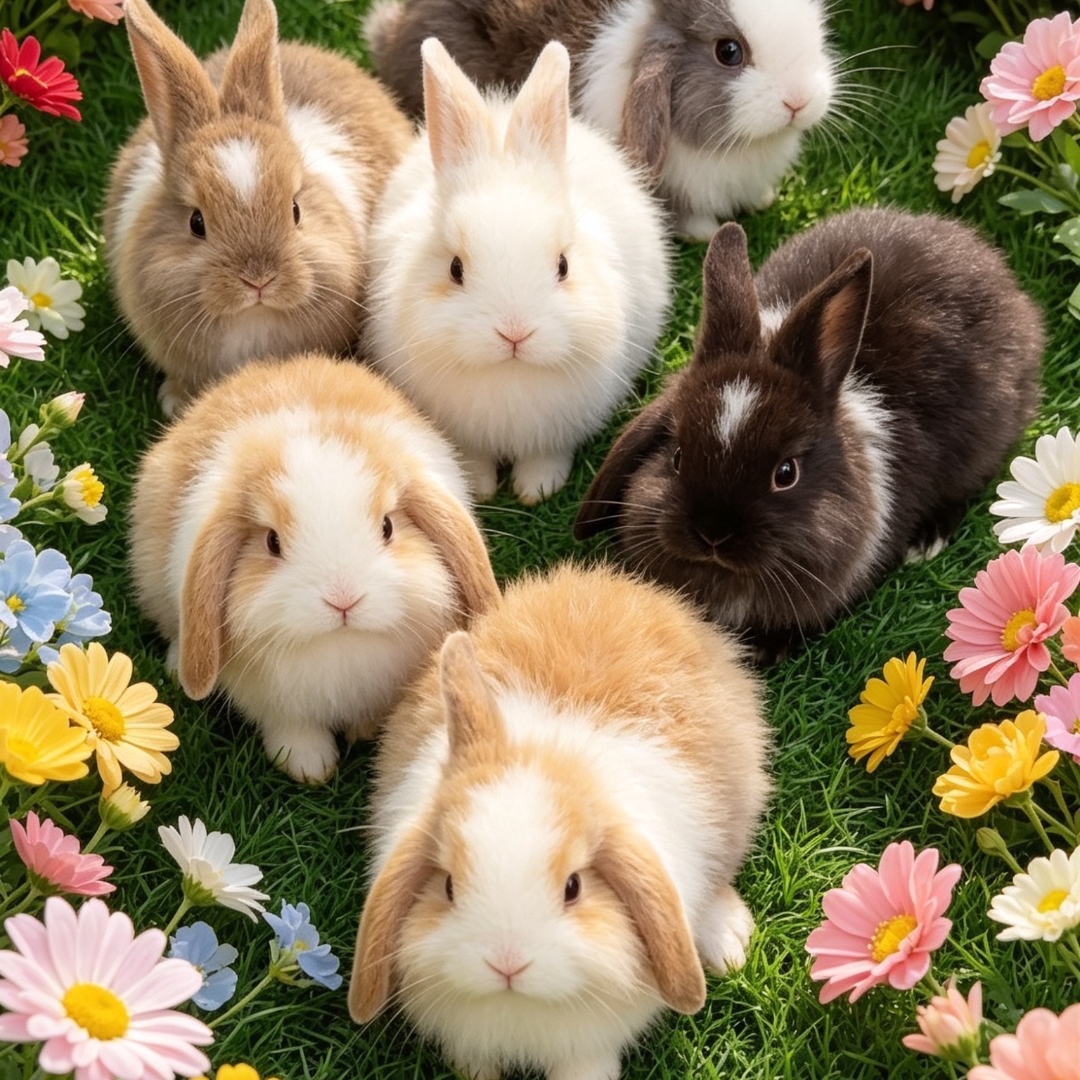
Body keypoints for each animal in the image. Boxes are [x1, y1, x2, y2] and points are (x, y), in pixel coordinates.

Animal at [128, 353, 500, 784]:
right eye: (272, 542)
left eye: (388, 527)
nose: (343, 600)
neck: (339, 647)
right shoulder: (274, 702)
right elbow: (293, 728)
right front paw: (310, 768)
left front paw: (364, 731)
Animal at [363, 38, 671, 505]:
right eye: (455, 268)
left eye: (563, 265)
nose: (514, 333)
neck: (510, 376)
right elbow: (472, 457)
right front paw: (480, 487)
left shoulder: (559, 429)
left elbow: (546, 455)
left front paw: (538, 489)